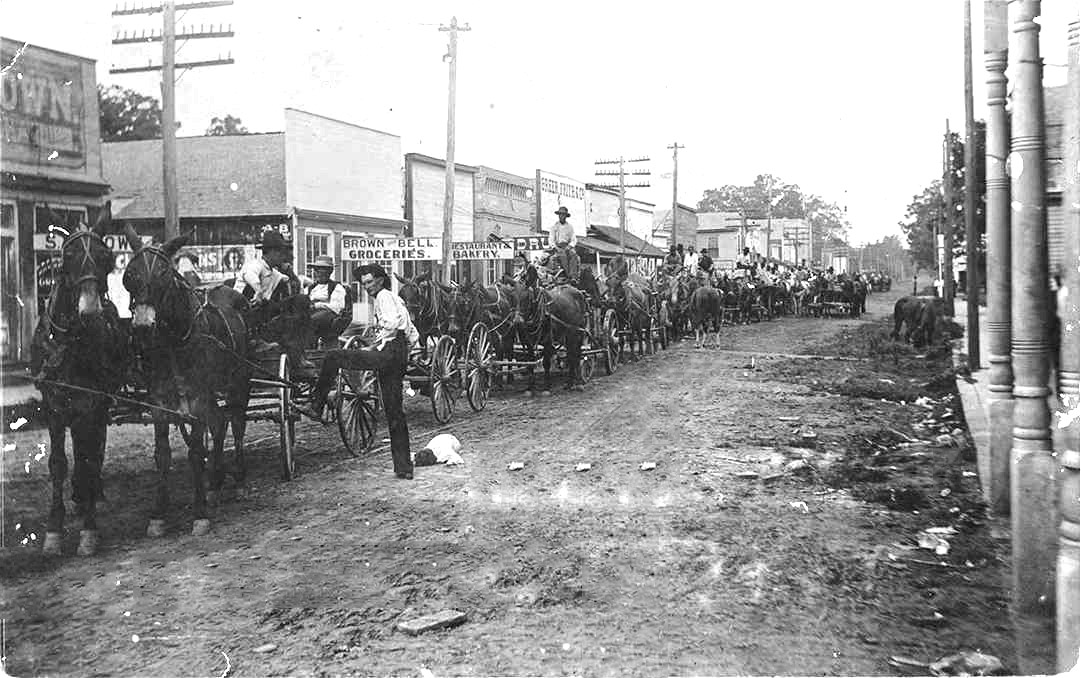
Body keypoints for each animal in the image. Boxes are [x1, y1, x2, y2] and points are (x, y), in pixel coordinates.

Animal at [33, 205, 127, 557]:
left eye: (105, 256)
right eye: (68, 255)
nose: (90, 311)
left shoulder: (92, 402)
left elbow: (88, 458)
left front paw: (89, 531)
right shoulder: (53, 406)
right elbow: (58, 463)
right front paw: (53, 531)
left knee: (94, 450)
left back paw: (92, 494)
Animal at [123, 227, 252, 536]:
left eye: (163, 275)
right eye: (130, 274)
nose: (142, 327)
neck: (173, 340)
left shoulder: (197, 399)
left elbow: (195, 452)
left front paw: (199, 513)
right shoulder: (159, 401)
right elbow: (163, 454)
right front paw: (158, 514)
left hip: (238, 381)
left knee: (236, 423)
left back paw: (239, 480)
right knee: (219, 424)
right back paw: (215, 482)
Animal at [508, 263, 588, 393]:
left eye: (527, 297)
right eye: (512, 298)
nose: (517, 321)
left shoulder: (548, 340)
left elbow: (546, 362)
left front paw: (546, 387)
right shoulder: (528, 342)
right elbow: (530, 361)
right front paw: (530, 387)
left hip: (577, 332)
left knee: (575, 355)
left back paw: (576, 382)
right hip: (568, 334)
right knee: (571, 354)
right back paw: (571, 382)